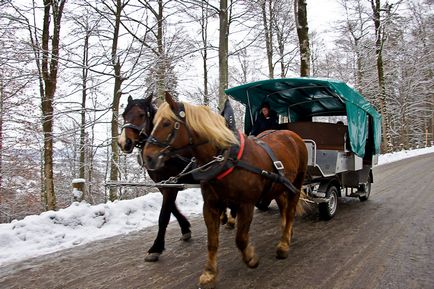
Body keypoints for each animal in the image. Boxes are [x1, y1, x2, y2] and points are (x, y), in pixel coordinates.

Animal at [142, 93, 308, 286]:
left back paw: (284, 244)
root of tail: (291, 134)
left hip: (297, 183)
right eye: (154, 122)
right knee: (283, 205)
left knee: (290, 210)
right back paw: (286, 233)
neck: (226, 158)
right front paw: (209, 272)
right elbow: (212, 241)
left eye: (166, 123)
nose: (148, 157)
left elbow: (241, 239)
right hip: (278, 186)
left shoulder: (246, 205)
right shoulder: (210, 206)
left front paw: (250, 258)